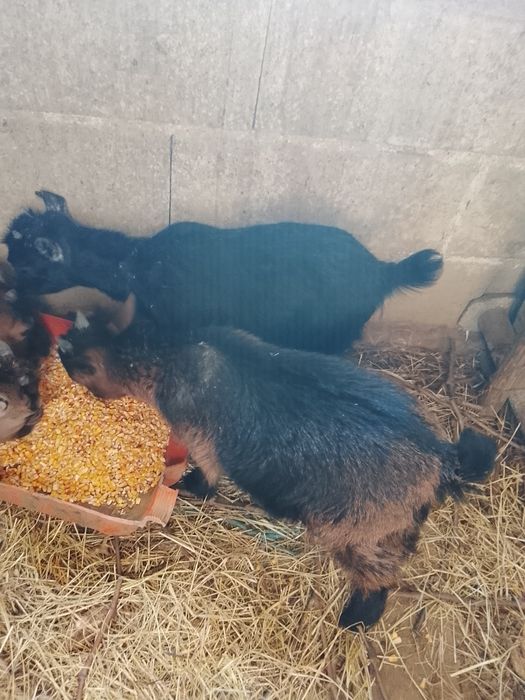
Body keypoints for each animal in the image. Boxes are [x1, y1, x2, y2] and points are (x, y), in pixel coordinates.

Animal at [58, 317, 496, 630]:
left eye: (75, 362)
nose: (59, 350)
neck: (172, 353)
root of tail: (439, 456)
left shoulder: (202, 438)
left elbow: (208, 474)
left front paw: (191, 485)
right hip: (393, 522)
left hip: (355, 530)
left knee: (379, 573)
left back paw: (358, 618)